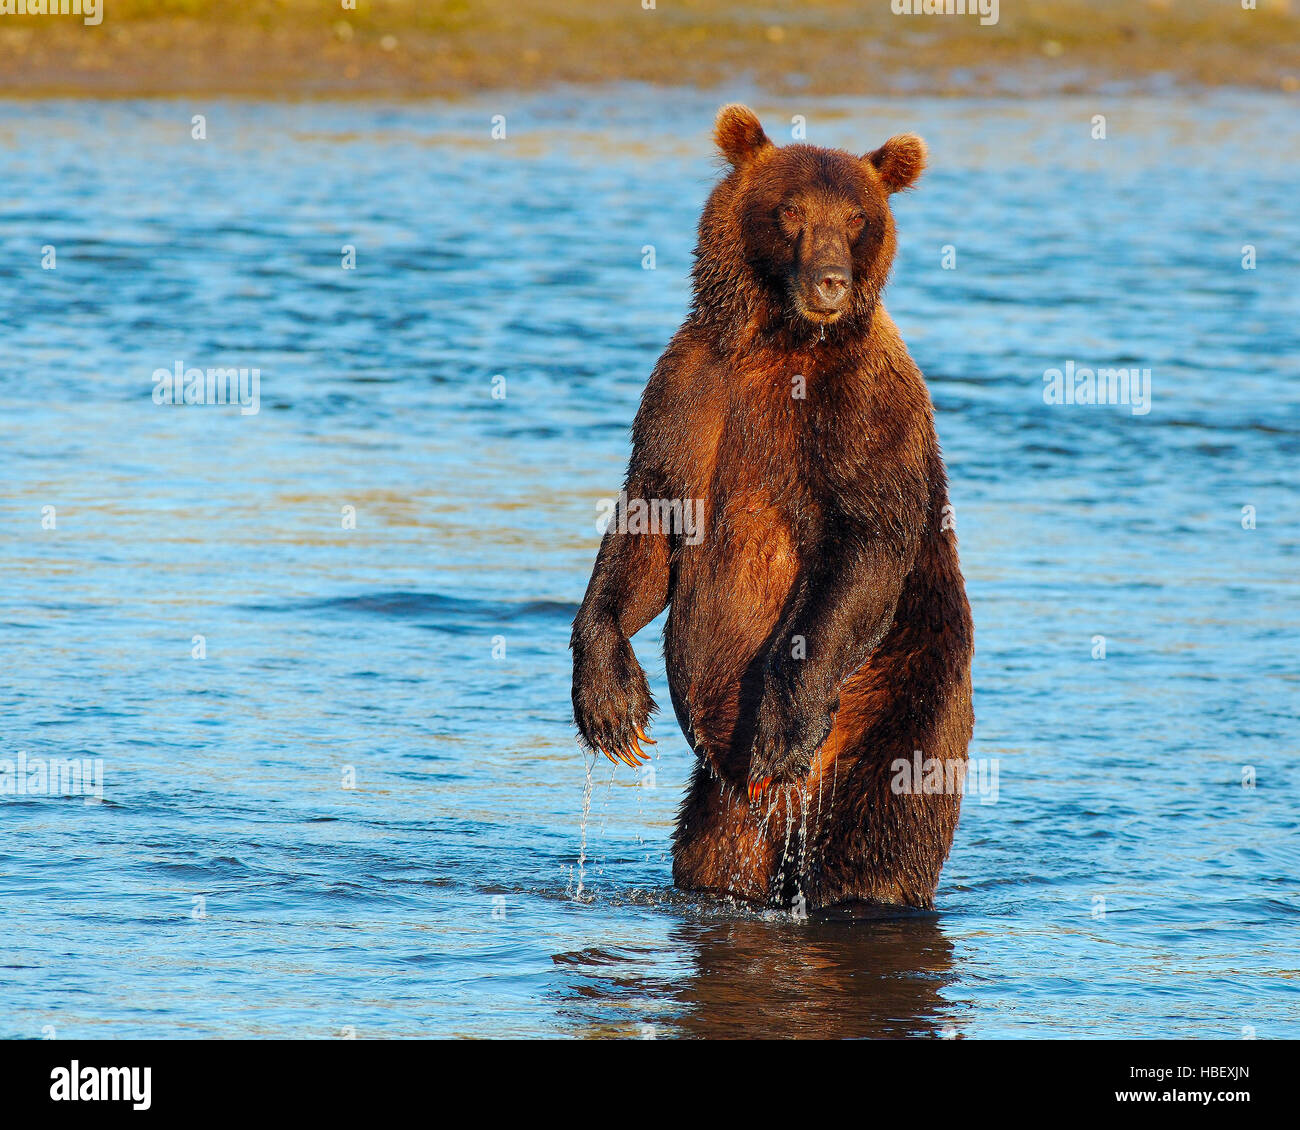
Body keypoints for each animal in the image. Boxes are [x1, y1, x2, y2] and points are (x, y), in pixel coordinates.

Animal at [572, 105, 977, 910]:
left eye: (857, 216)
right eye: (790, 211)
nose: (830, 280)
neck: (782, 338)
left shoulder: (865, 412)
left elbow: (864, 545)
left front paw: (782, 728)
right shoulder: (692, 391)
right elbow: (649, 525)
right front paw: (611, 705)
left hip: (901, 706)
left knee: (878, 843)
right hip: (720, 803)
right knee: (709, 853)